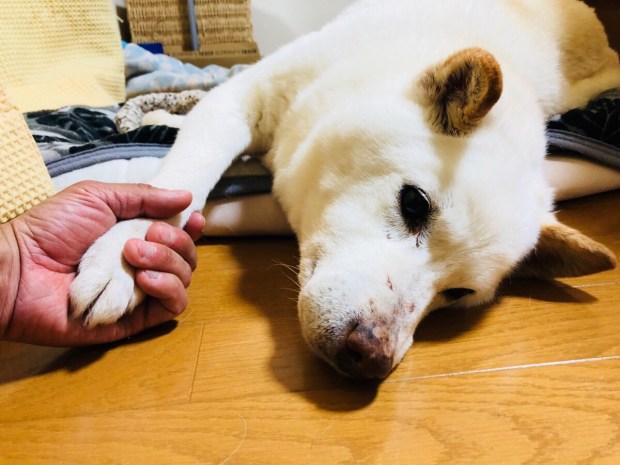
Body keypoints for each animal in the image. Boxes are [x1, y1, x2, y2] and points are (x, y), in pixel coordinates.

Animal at [70, 0, 619, 379]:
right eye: (414, 203)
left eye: (459, 293)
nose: (370, 357)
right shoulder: (243, 97)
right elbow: (182, 174)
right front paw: (124, 257)